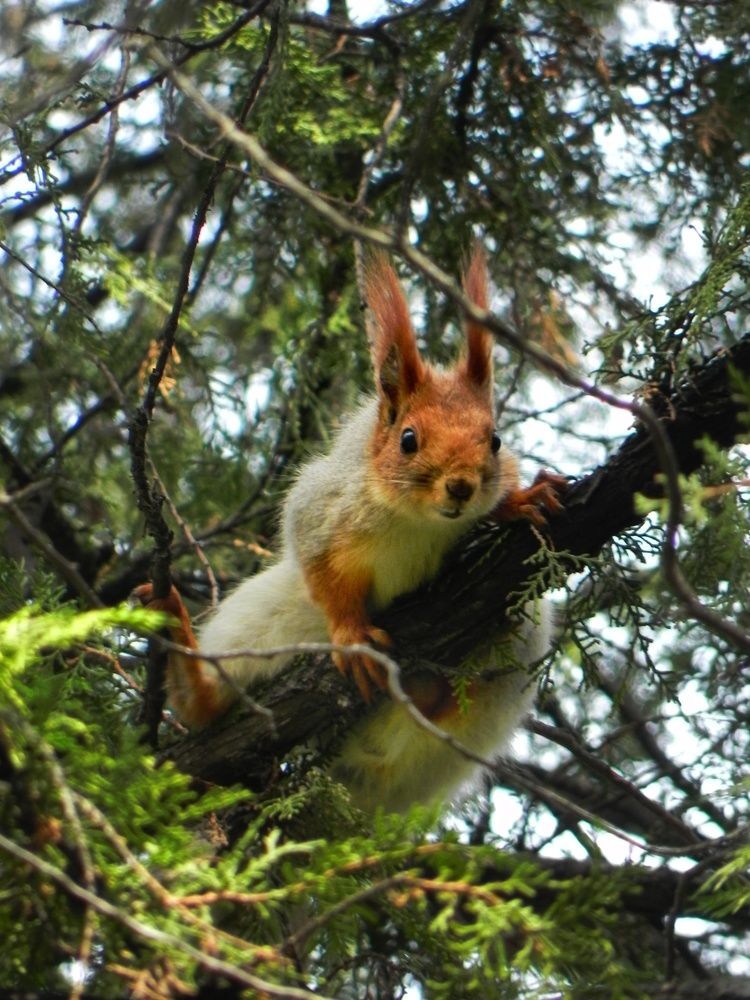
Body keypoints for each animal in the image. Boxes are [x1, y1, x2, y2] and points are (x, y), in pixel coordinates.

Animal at [135, 247, 564, 813]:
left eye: (494, 440)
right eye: (408, 439)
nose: (461, 487)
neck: (417, 521)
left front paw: (520, 499)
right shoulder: (322, 510)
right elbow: (322, 569)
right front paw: (352, 634)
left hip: (514, 651)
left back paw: (430, 688)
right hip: (265, 622)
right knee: (212, 698)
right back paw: (183, 656)